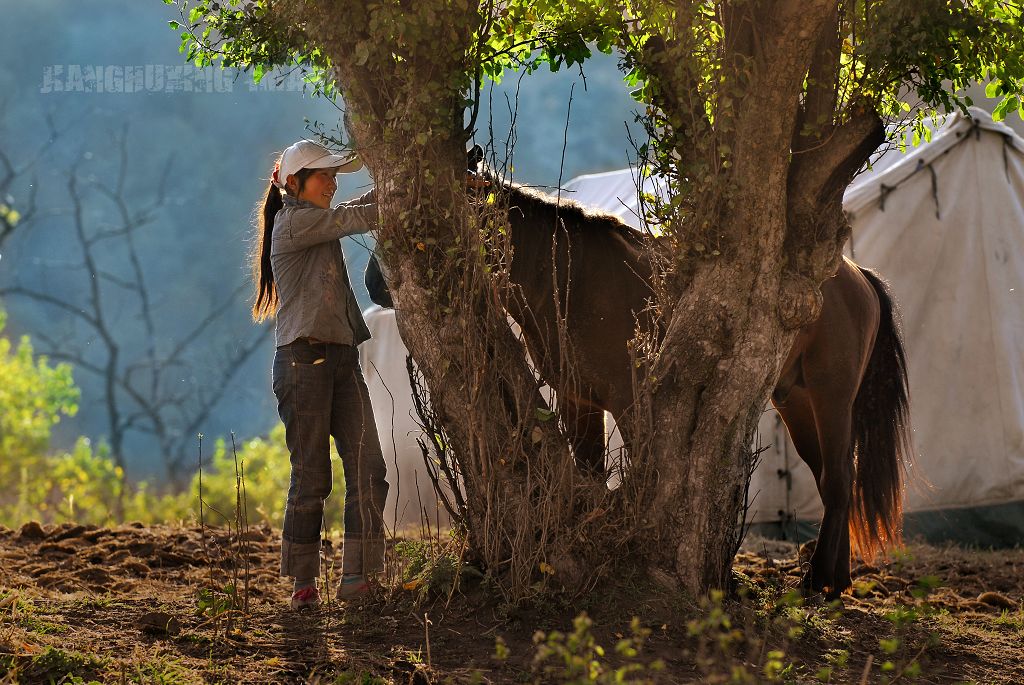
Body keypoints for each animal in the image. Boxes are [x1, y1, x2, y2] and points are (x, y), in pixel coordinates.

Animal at [368, 157, 913, 593]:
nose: (377, 282)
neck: (567, 277)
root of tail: (856, 275)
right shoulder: (579, 401)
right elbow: (589, 474)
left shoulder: (630, 402)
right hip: (795, 399)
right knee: (830, 479)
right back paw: (836, 577)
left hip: (830, 397)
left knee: (840, 478)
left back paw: (820, 580)